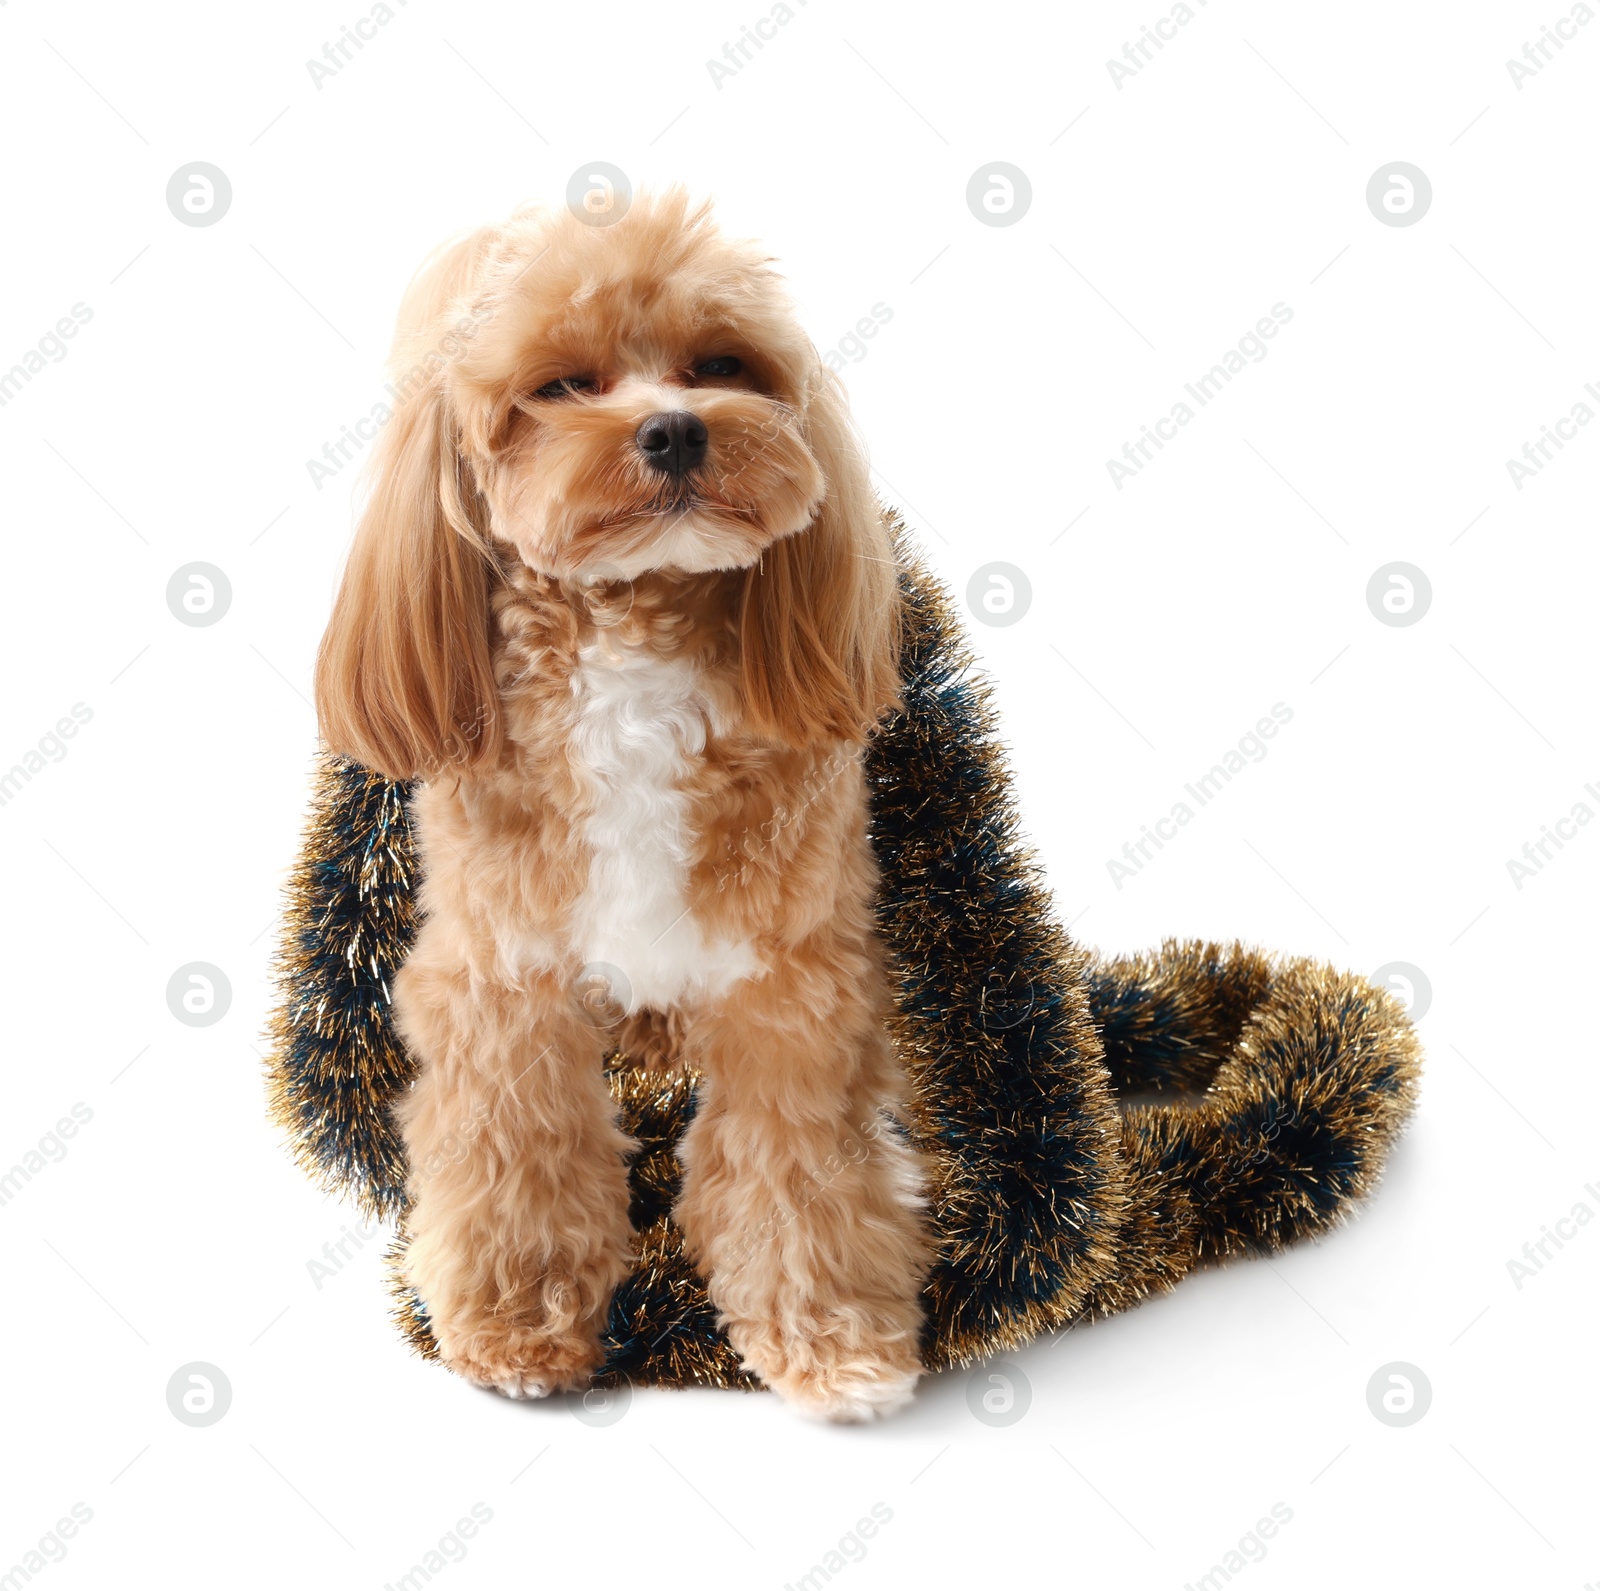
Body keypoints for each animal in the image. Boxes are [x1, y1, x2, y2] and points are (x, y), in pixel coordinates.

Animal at [313, 192, 934, 1421]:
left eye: (722, 364)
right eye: (560, 386)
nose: (677, 430)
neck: (634, 644)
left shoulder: (789, 979)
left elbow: (798, 1168)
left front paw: (832, 1338)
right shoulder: (503, 976)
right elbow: (518, 1151)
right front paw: (516, 1324)